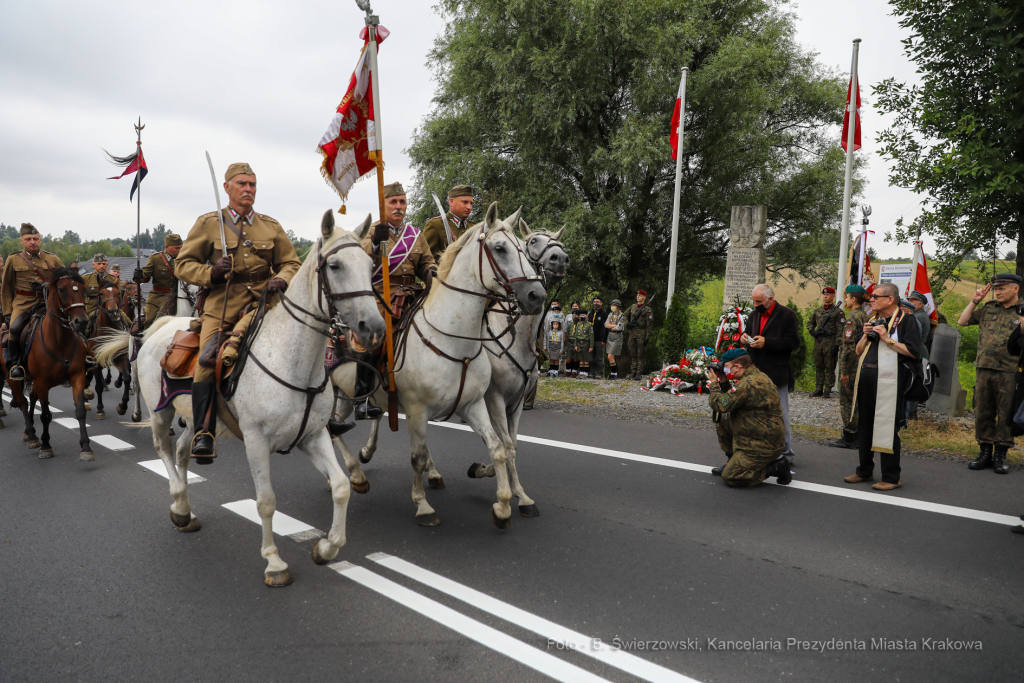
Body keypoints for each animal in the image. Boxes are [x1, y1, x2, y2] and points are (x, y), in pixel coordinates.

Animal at [3, 266, 94, 458]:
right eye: (62, 290)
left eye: (83, 290)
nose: (82, 322)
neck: (59, 340)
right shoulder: (43, 381)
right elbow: (45, 415)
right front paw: (46, 445)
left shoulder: (77, 376)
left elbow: (80, 410)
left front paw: (85, 447)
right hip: (12, 378)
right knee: (23, 401)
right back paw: (31, 435)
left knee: (31, 398)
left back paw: (29, 430)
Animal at [95, 210, 385, 585]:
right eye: (334, 266)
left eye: (370, 263)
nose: (373, 328)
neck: (294, 361)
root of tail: (163, 325)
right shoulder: (256, 441)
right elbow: (266, 501)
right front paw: (274, 563)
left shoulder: (313, 436)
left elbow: (340, 486)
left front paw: (326, 548)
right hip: (161, 412)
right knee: (164, 448)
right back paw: (179, 504)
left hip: (199, 419)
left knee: (183, 450)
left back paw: (186, 509)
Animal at [331, 202, 548, 528]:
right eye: (499, 248)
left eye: (523, 247)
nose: (537, 296)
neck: (455, 339)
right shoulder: (422, 407)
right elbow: (416, 457)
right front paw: (423, 506)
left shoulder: (474, 405)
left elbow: (498, 448)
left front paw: (503, 505)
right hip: (339, 393)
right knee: (333, 428)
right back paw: (356, 475)